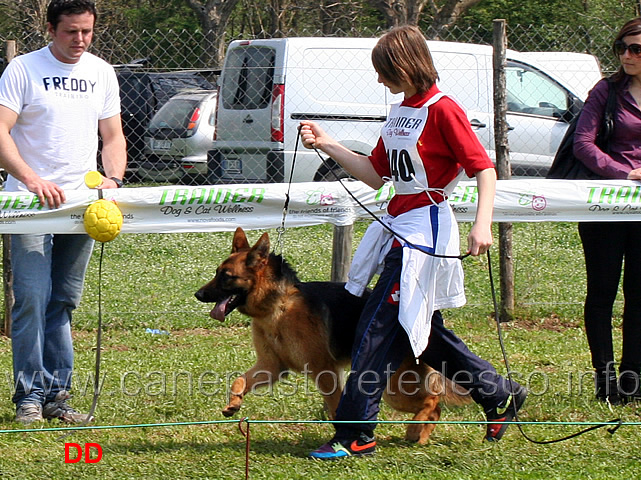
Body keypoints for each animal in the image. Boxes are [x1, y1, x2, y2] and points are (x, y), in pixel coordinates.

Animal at [195, 227, 470, 444]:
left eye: (226, 277)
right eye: (216, 272)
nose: (197, 294)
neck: (277, 306)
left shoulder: (324, 371)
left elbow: (337, 409)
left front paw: (341, 441)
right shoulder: (271, 367)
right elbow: (238, 380)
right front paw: (234, 403)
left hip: (396, 390)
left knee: (433, 401)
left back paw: (416, 430)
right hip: (395, 390)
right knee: (435, 407)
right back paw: (418, 436)